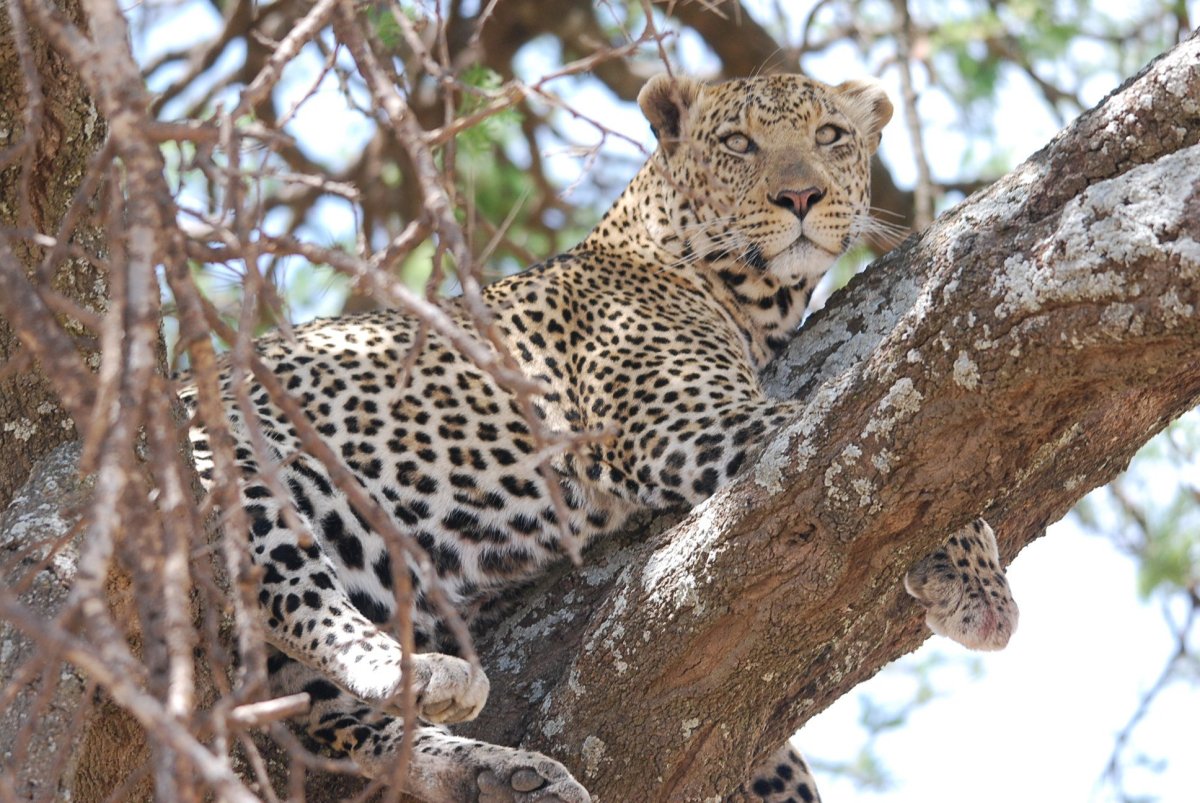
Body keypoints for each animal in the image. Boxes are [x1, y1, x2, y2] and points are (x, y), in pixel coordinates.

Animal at [182, 72, 1018, 802]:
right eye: (740, 143)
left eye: (830, 136)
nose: (800, 195)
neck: (753, 301)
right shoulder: (679, 424)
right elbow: (870, 443)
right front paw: (981, 585)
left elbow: (780, 763)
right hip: (246, 466)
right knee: (292, 595)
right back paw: (425, 674)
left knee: (339, 722)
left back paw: (504, 774)